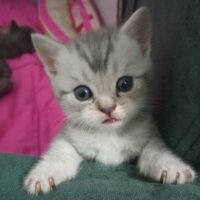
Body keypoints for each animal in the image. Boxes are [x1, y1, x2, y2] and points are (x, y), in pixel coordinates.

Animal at [23, 8, 195, 195]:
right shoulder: (69, 133)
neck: (109, 134)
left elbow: (155, 147)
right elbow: (61, 149)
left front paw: (170, 165)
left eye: (125, 84)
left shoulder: (148, 130)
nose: (108, 108)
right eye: (82, 93)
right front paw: (45, 172)